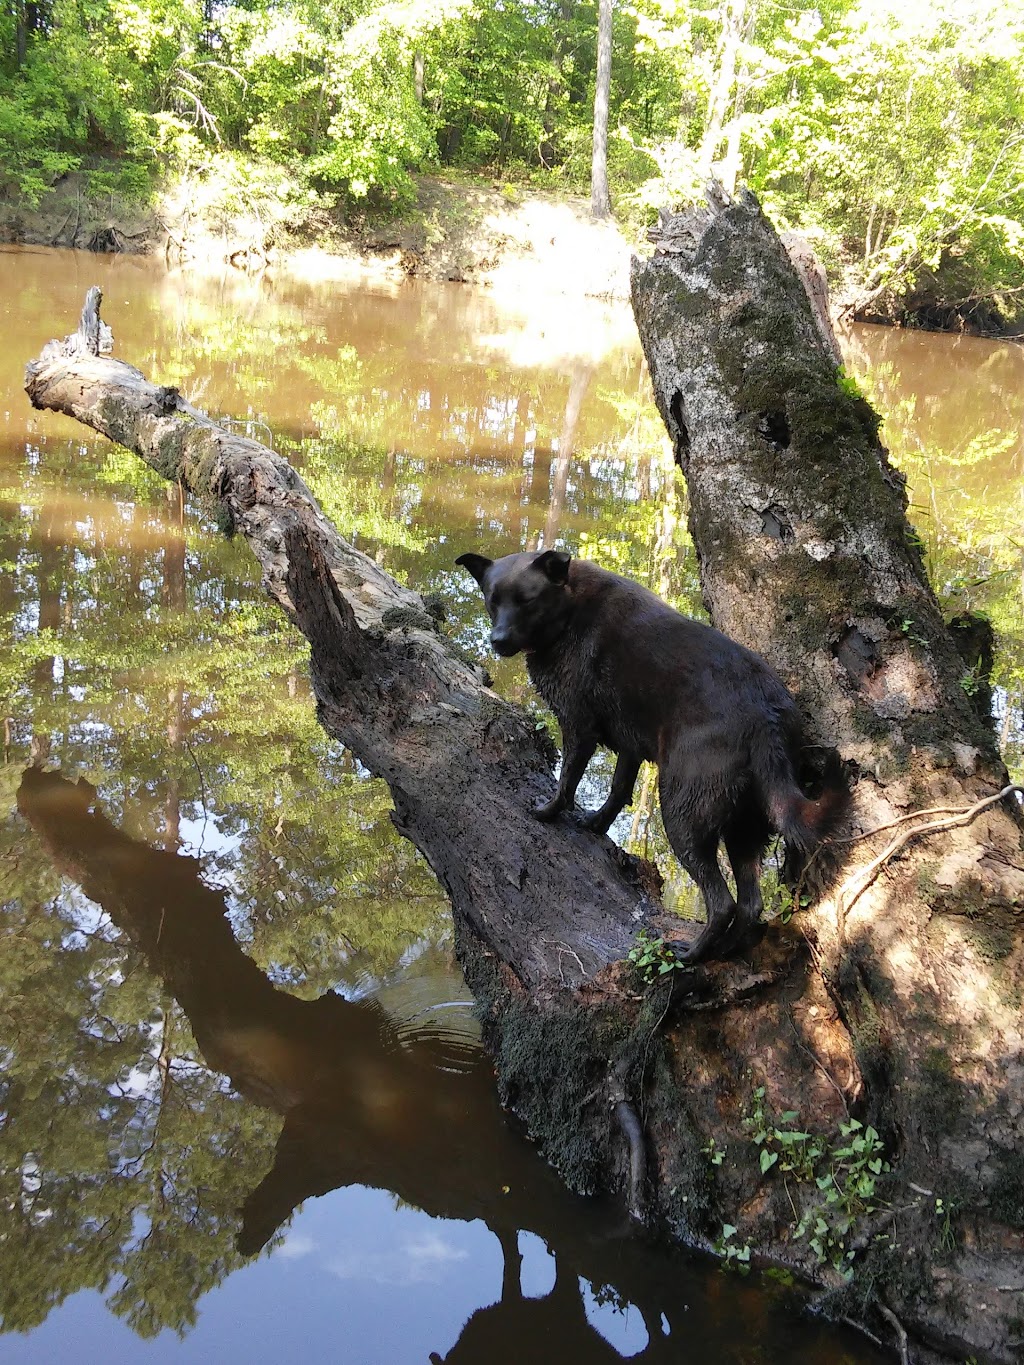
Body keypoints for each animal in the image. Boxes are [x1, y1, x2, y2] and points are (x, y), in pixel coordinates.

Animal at [456, 548, 851, 966]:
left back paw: (691, 954)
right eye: (492, 600)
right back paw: (724, 950)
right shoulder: (629, 745)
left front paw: (547, 812)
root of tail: (765, 718)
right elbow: (617, 790)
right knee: (749, 905)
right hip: (745, 828)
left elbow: (567, 780)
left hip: (681, 811)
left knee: (722, 903)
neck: (569, 609)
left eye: (527, 600)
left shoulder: (579, 725)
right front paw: (595, 823)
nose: (498, 641)